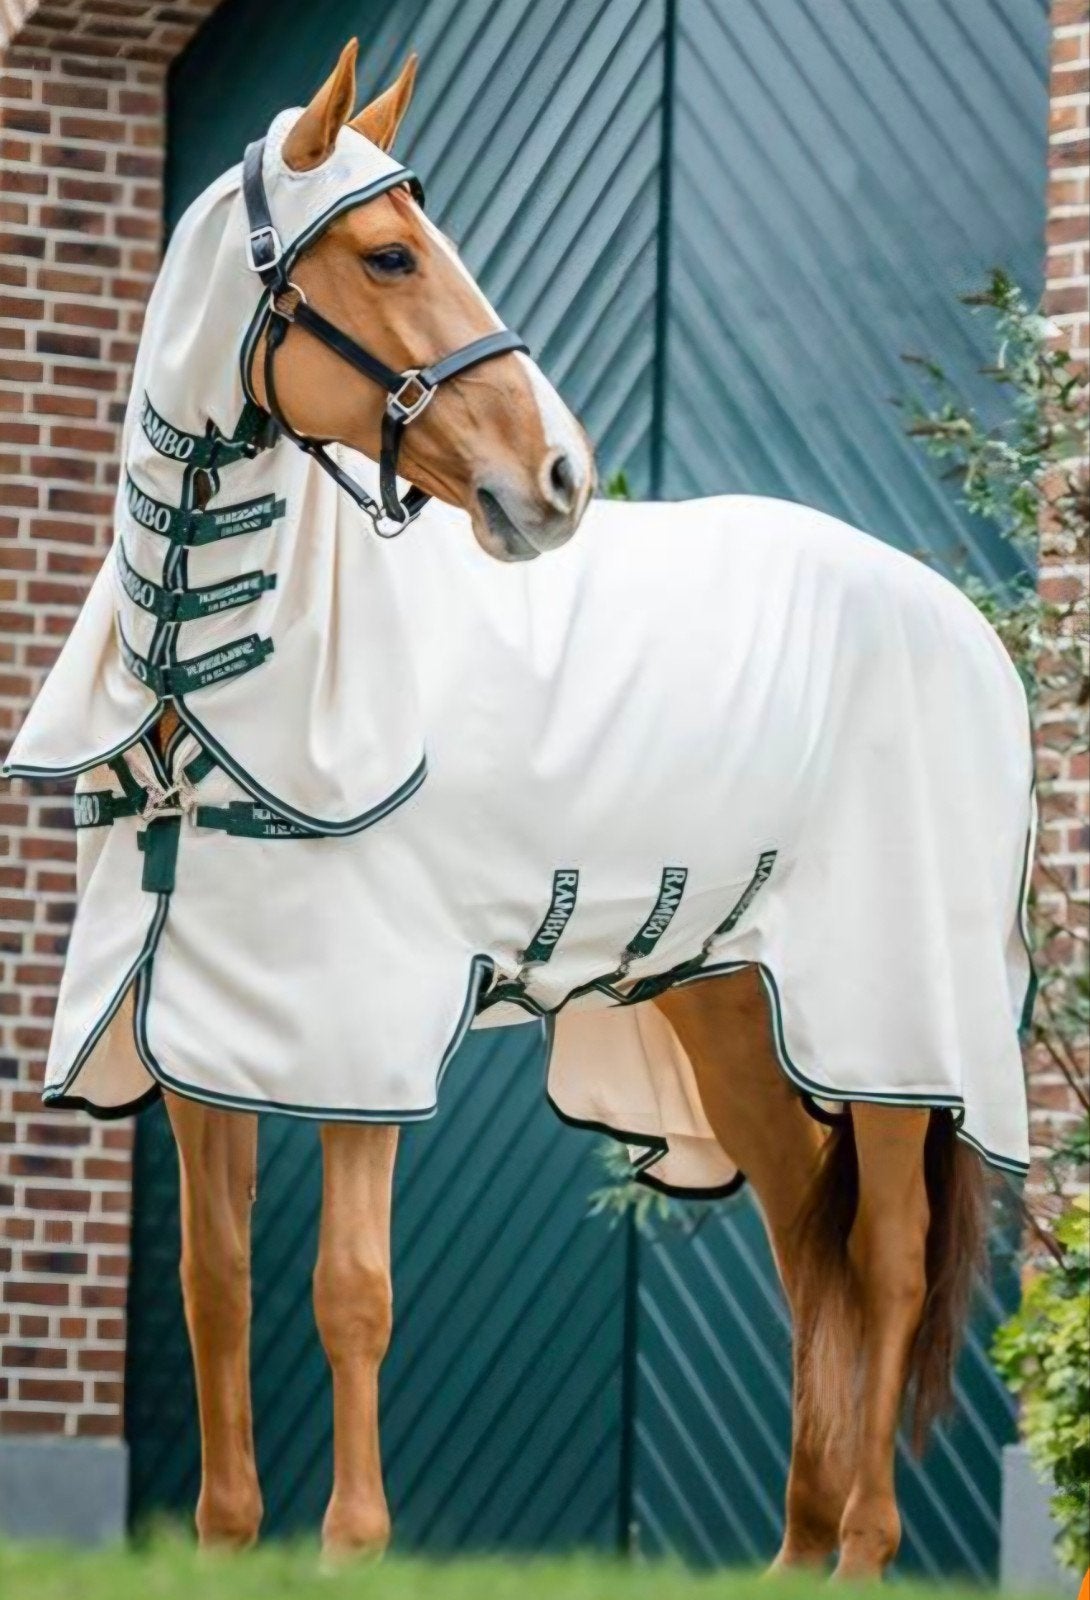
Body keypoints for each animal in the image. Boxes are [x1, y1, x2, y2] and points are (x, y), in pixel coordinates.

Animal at [5, 40, 1034, 1582]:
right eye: (385, 252)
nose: (556, 481)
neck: (213, 673)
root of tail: (957, 623)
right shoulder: (198, 1027)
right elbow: (216, 1281)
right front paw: (231, 1542)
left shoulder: (354, 1026)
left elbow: (349, 1285)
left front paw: (352, 1548)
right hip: (728, 1002)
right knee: (808, 1238)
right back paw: (794, 1556)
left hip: (893, 1027)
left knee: (890, 1256)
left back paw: (860, 1550)